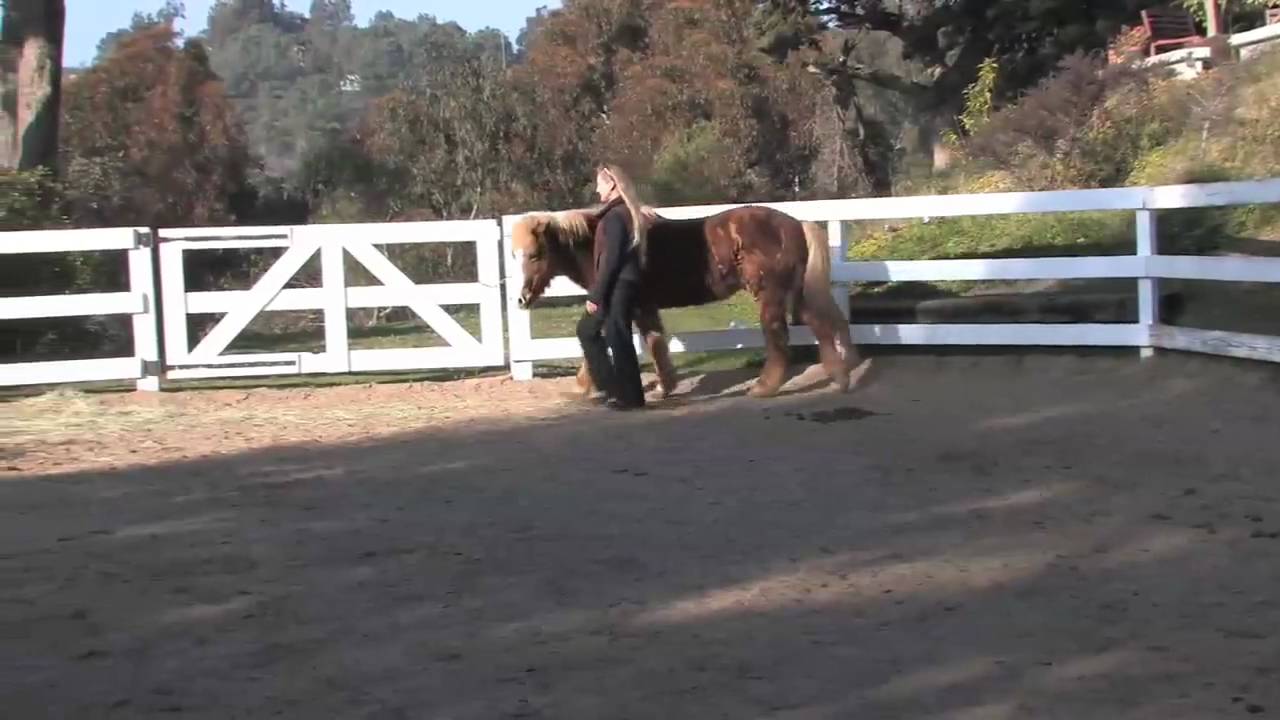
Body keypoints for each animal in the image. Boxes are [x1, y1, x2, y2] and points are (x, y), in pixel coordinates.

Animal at [509, 203, 860, 398]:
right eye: (513, 254)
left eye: (535, 254)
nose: (521, 299)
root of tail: (796, 225)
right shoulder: (644, 308)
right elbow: (655, 343)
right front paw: (666, 386)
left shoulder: (622, 306)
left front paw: (584, 385)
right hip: (795, 293)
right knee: (820, 326)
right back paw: (840, 380)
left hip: (771, 295)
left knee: (778, 339)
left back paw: (764, 388)